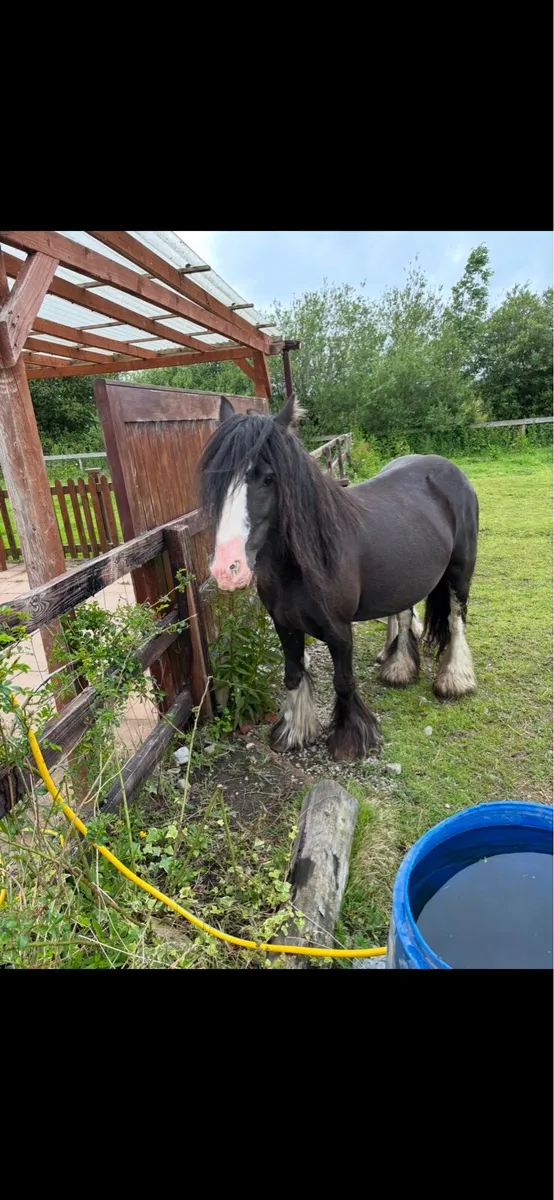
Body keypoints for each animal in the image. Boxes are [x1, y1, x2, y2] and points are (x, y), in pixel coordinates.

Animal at [200, 393, 479, 762]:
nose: (227, 569)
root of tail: (449, 468)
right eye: (216, 480)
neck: (304, 564)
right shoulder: (284, 625)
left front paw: (350, 740)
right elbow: (292, 675)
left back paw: (454, 681)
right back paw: (399, 669)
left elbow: (343, 681)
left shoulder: (339, 630)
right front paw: (294, 732)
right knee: (405, 613)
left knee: (455, 619)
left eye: (268, 478)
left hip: (460, 573)